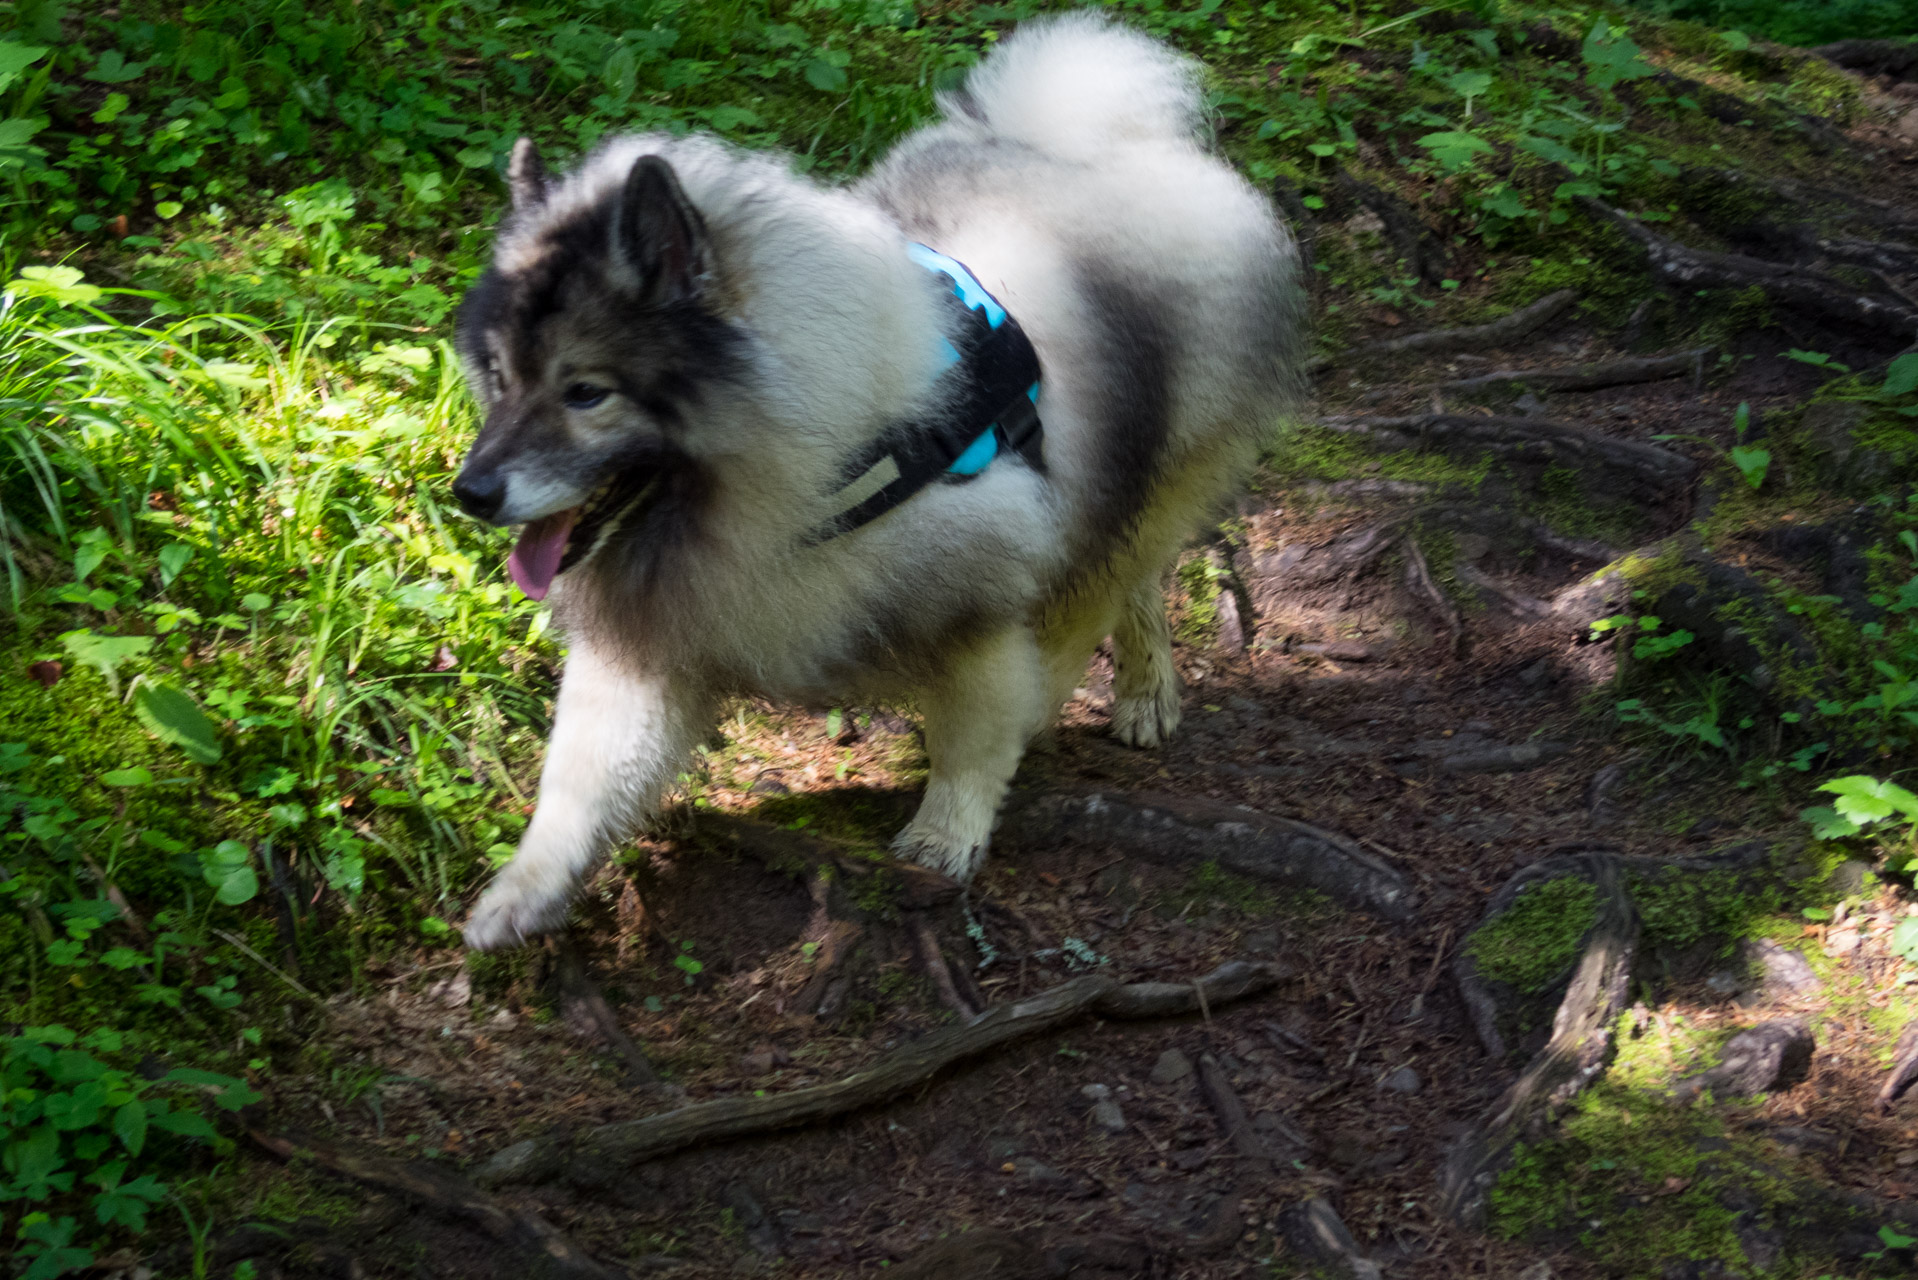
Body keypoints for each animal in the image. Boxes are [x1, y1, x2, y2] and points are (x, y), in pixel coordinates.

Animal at [450, 12, 1311, 951]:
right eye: (501, 376)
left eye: (586, 393)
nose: (472, 493)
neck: (806, 465)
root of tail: (1097, 145)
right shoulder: (659, 642)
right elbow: (581, 779)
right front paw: (527, 890)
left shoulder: (975, 610)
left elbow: (979, 733)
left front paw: (946, 834)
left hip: (1147, 474)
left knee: (1127, 574)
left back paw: (1142, 691)